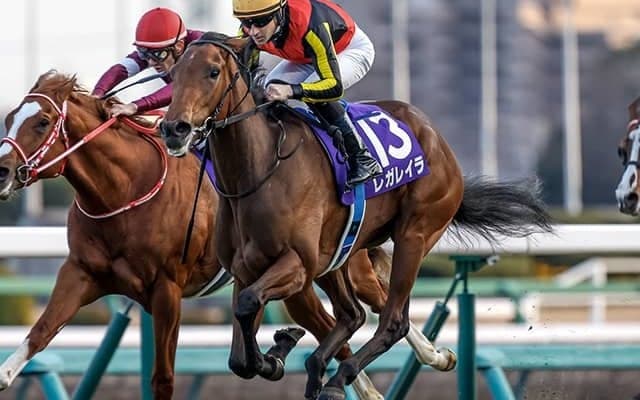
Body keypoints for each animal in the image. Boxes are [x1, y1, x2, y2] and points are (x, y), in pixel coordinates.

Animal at [0, 71, 449, 400]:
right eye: (8, 120)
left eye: (41, 122)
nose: (2, 172)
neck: (125, 189)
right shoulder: (81, 273)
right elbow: (39, 334)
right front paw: (7, 373)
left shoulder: (166, 290)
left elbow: (163, 377)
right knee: (341, 321)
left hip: (327, 270)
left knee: (371, 308)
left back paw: (428, 358)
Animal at [159, 33, 553, 400]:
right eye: (173, 75)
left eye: (212, 72)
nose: (174, 128)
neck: (259, 171)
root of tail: (434, 135)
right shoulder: (247, 269)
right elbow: (240, 354)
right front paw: (278, 352)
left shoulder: (297, 263)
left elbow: (248, 305)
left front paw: (280, 353)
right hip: (340, 255)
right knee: (354, 314)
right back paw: (321, 367)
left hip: (414, 233)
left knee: (392, 321)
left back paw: (338, 378)